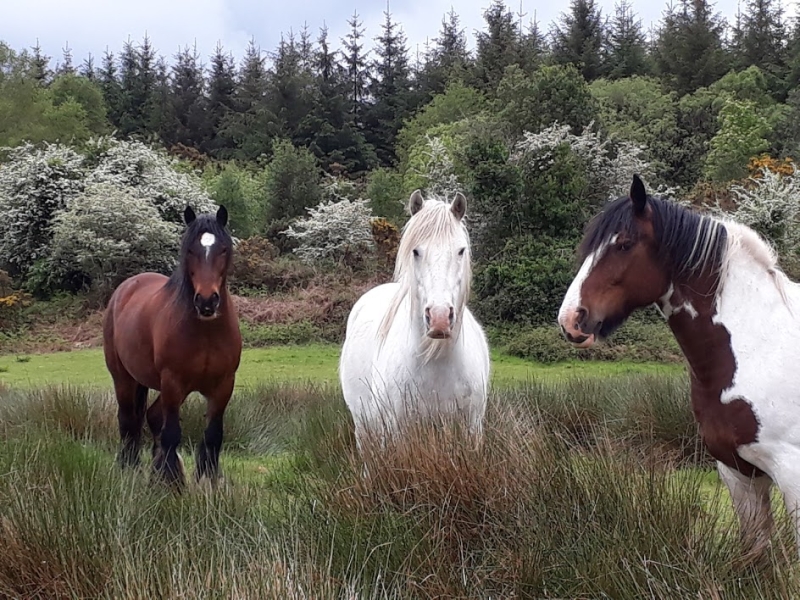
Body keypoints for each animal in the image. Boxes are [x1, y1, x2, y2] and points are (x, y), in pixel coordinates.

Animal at [103, 206, 241, 488]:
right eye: (190, 250)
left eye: (223, 249)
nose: (207, 302)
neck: (206, 331)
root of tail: (125, 288)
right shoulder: (173, 383)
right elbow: (172, 433)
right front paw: (170, 483)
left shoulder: (223, 386)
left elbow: (213, 435)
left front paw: (208, 481)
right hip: (124, 379)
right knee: (128, 421)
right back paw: (130, 468)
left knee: (151, 417)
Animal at [338, 190, 488, 452]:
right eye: (416, 251)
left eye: (461, 250)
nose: (439, 318)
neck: (438, 364)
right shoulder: (399, 431)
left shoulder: (472, 429)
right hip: (365, 426)